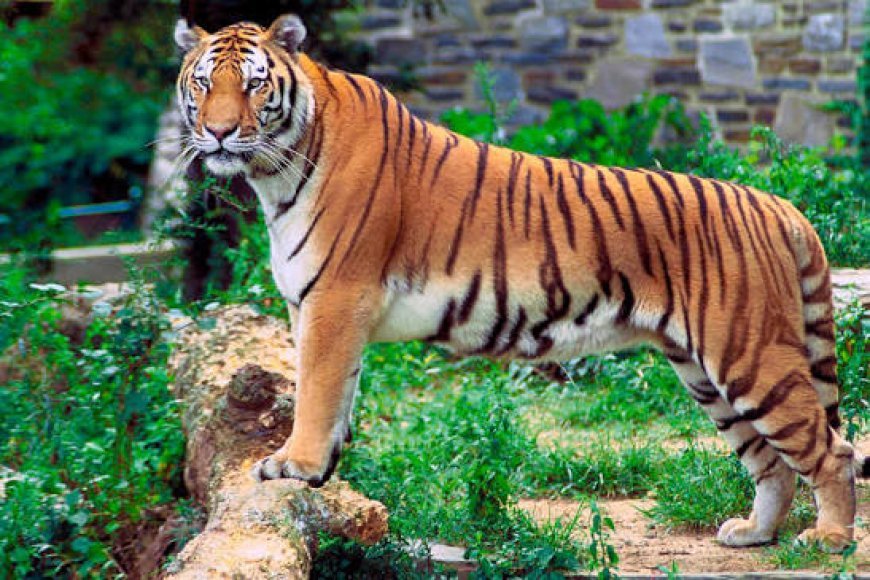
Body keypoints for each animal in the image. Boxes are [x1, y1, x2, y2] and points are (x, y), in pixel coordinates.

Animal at [173, 14, 867, 551]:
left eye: (254, 84)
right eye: (204, 83)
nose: (219, 131)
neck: (276, 173)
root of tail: (777, 205)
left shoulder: (335, 300)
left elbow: (315, 392)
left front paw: (295, 465)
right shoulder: (318, 308)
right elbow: (337, 394)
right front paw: (323, 474)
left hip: (751, 356)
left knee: (831, 451)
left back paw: (828, 540)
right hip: (705, 373)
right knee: (772, 462)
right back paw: (754, 533)